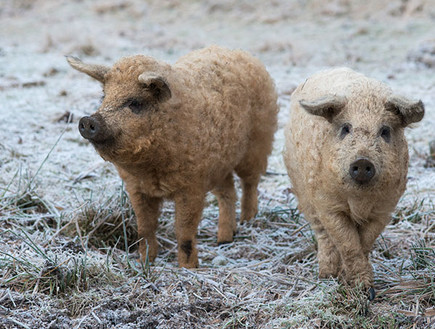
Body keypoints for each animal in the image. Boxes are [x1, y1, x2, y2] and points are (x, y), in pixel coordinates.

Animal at [68, 45, 280, 266]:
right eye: (104, 97)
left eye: (135, 103)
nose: (87, 120)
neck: (151, 169)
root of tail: (238, 52)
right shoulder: (136, 188)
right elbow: (144, 228)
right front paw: (144, 263)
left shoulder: (192, 186)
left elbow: (184, 232)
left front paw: (189, 268)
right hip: (220, 163)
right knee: (228, 192)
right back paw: (224, 239)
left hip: (259, 142)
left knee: (250, 183)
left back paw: (247, 220)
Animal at [284, 68, 424, 296]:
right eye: (346, 128)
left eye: (385, 131)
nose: (362, 161)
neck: (360, 200)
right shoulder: (328, 206)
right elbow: (348, 243)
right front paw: (360, 289)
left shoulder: (384, 209)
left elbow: (364, 242)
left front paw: (364, 289)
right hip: (302, 191)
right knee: (322, 234)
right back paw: (325, 274)